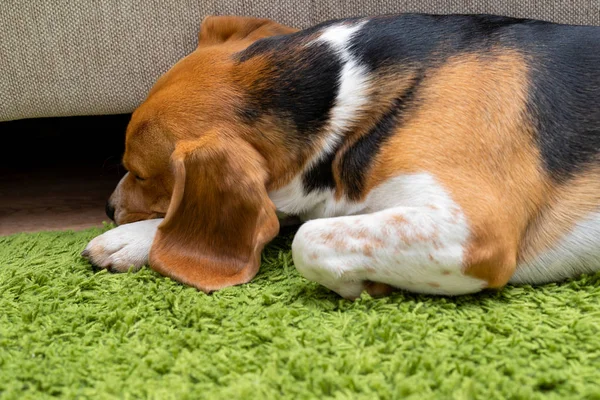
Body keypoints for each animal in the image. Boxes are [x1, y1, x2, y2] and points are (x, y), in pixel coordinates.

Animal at [83, 14, 600, 298]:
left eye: (139, 173)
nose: (107, 207)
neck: (342, 95)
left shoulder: (474, 228)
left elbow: (307, 239)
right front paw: (131, 240)